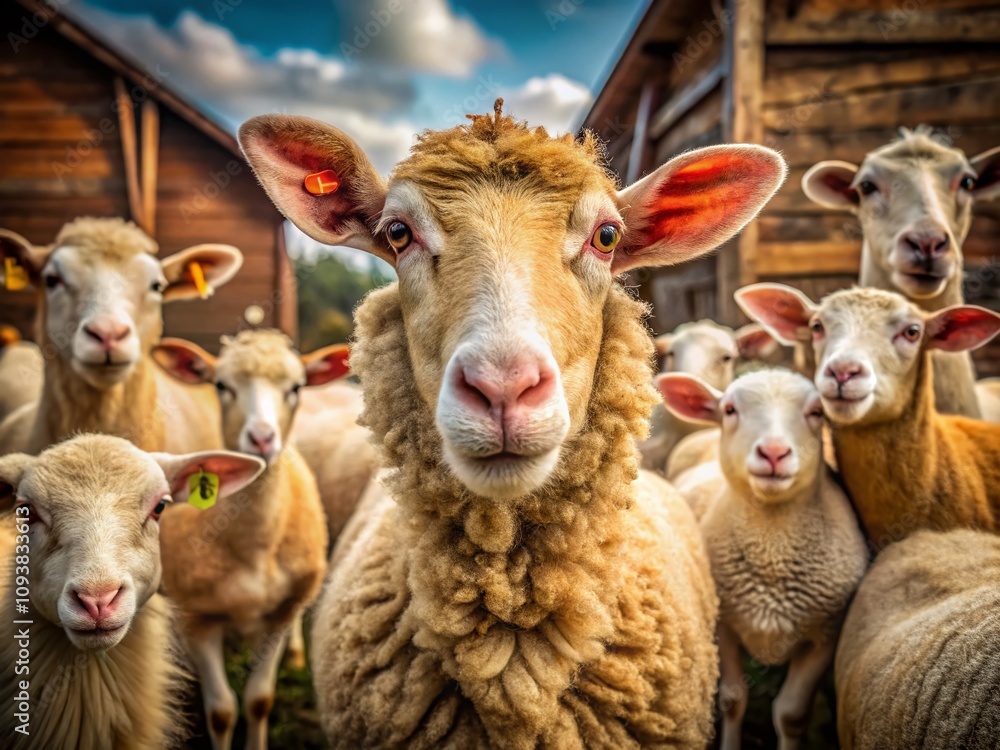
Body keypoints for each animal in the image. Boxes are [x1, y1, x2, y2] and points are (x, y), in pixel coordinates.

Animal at [152, 329, 341, 749]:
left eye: (296, 387)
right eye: (222, 385)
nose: (261, 438)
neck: (254, 543)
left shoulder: (279, 615)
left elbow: (258, 700)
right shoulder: (197, 619)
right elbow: (222, 711)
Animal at [657, 368, 867, 750]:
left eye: (817, 412)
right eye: (729, 409)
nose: (774, 452)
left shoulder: (826, 634)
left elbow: (791, 714)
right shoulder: (724, 626)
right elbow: (733, 700)